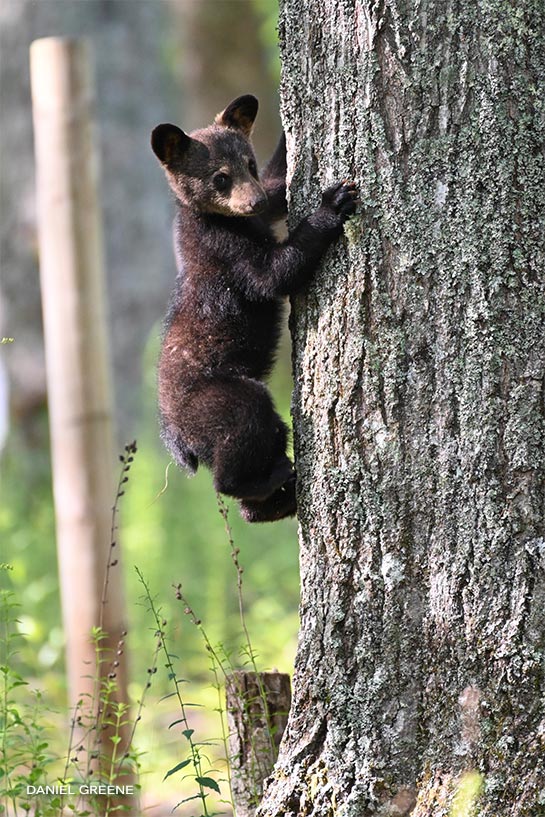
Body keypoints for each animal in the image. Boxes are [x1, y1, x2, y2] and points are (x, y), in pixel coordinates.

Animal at [151, 94, 357, 522]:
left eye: (249, 163)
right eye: (220, 177)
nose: (253, 199)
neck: (222, 220)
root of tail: (175, 440)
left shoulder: (261, 210)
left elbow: (280, 186)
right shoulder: (223, 248)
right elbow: (272, 275)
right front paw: (334, 204)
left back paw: (279, 494)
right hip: (219, 401)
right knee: (239, 441)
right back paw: (261, 479)